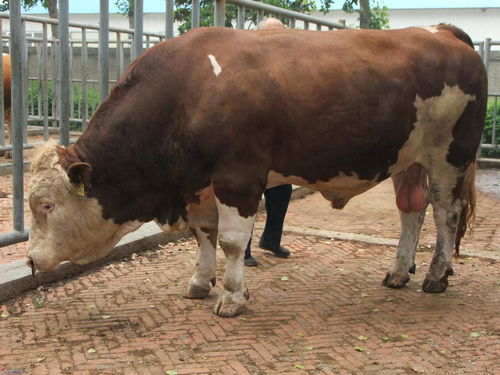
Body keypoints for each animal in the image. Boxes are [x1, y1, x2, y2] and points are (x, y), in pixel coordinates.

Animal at [26, 24, 484, 318]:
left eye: (47, 205)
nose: (30, 259)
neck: (187, 91)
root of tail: (442, 32)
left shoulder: (238, 176)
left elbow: (231, 241)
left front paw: (231, 297)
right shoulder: (199, 186)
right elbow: (204, 235)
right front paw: (200, 282)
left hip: (450, 156)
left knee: (446, 213)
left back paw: (436, 275)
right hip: (407, 159)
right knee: (412, 209)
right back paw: (399, 271)